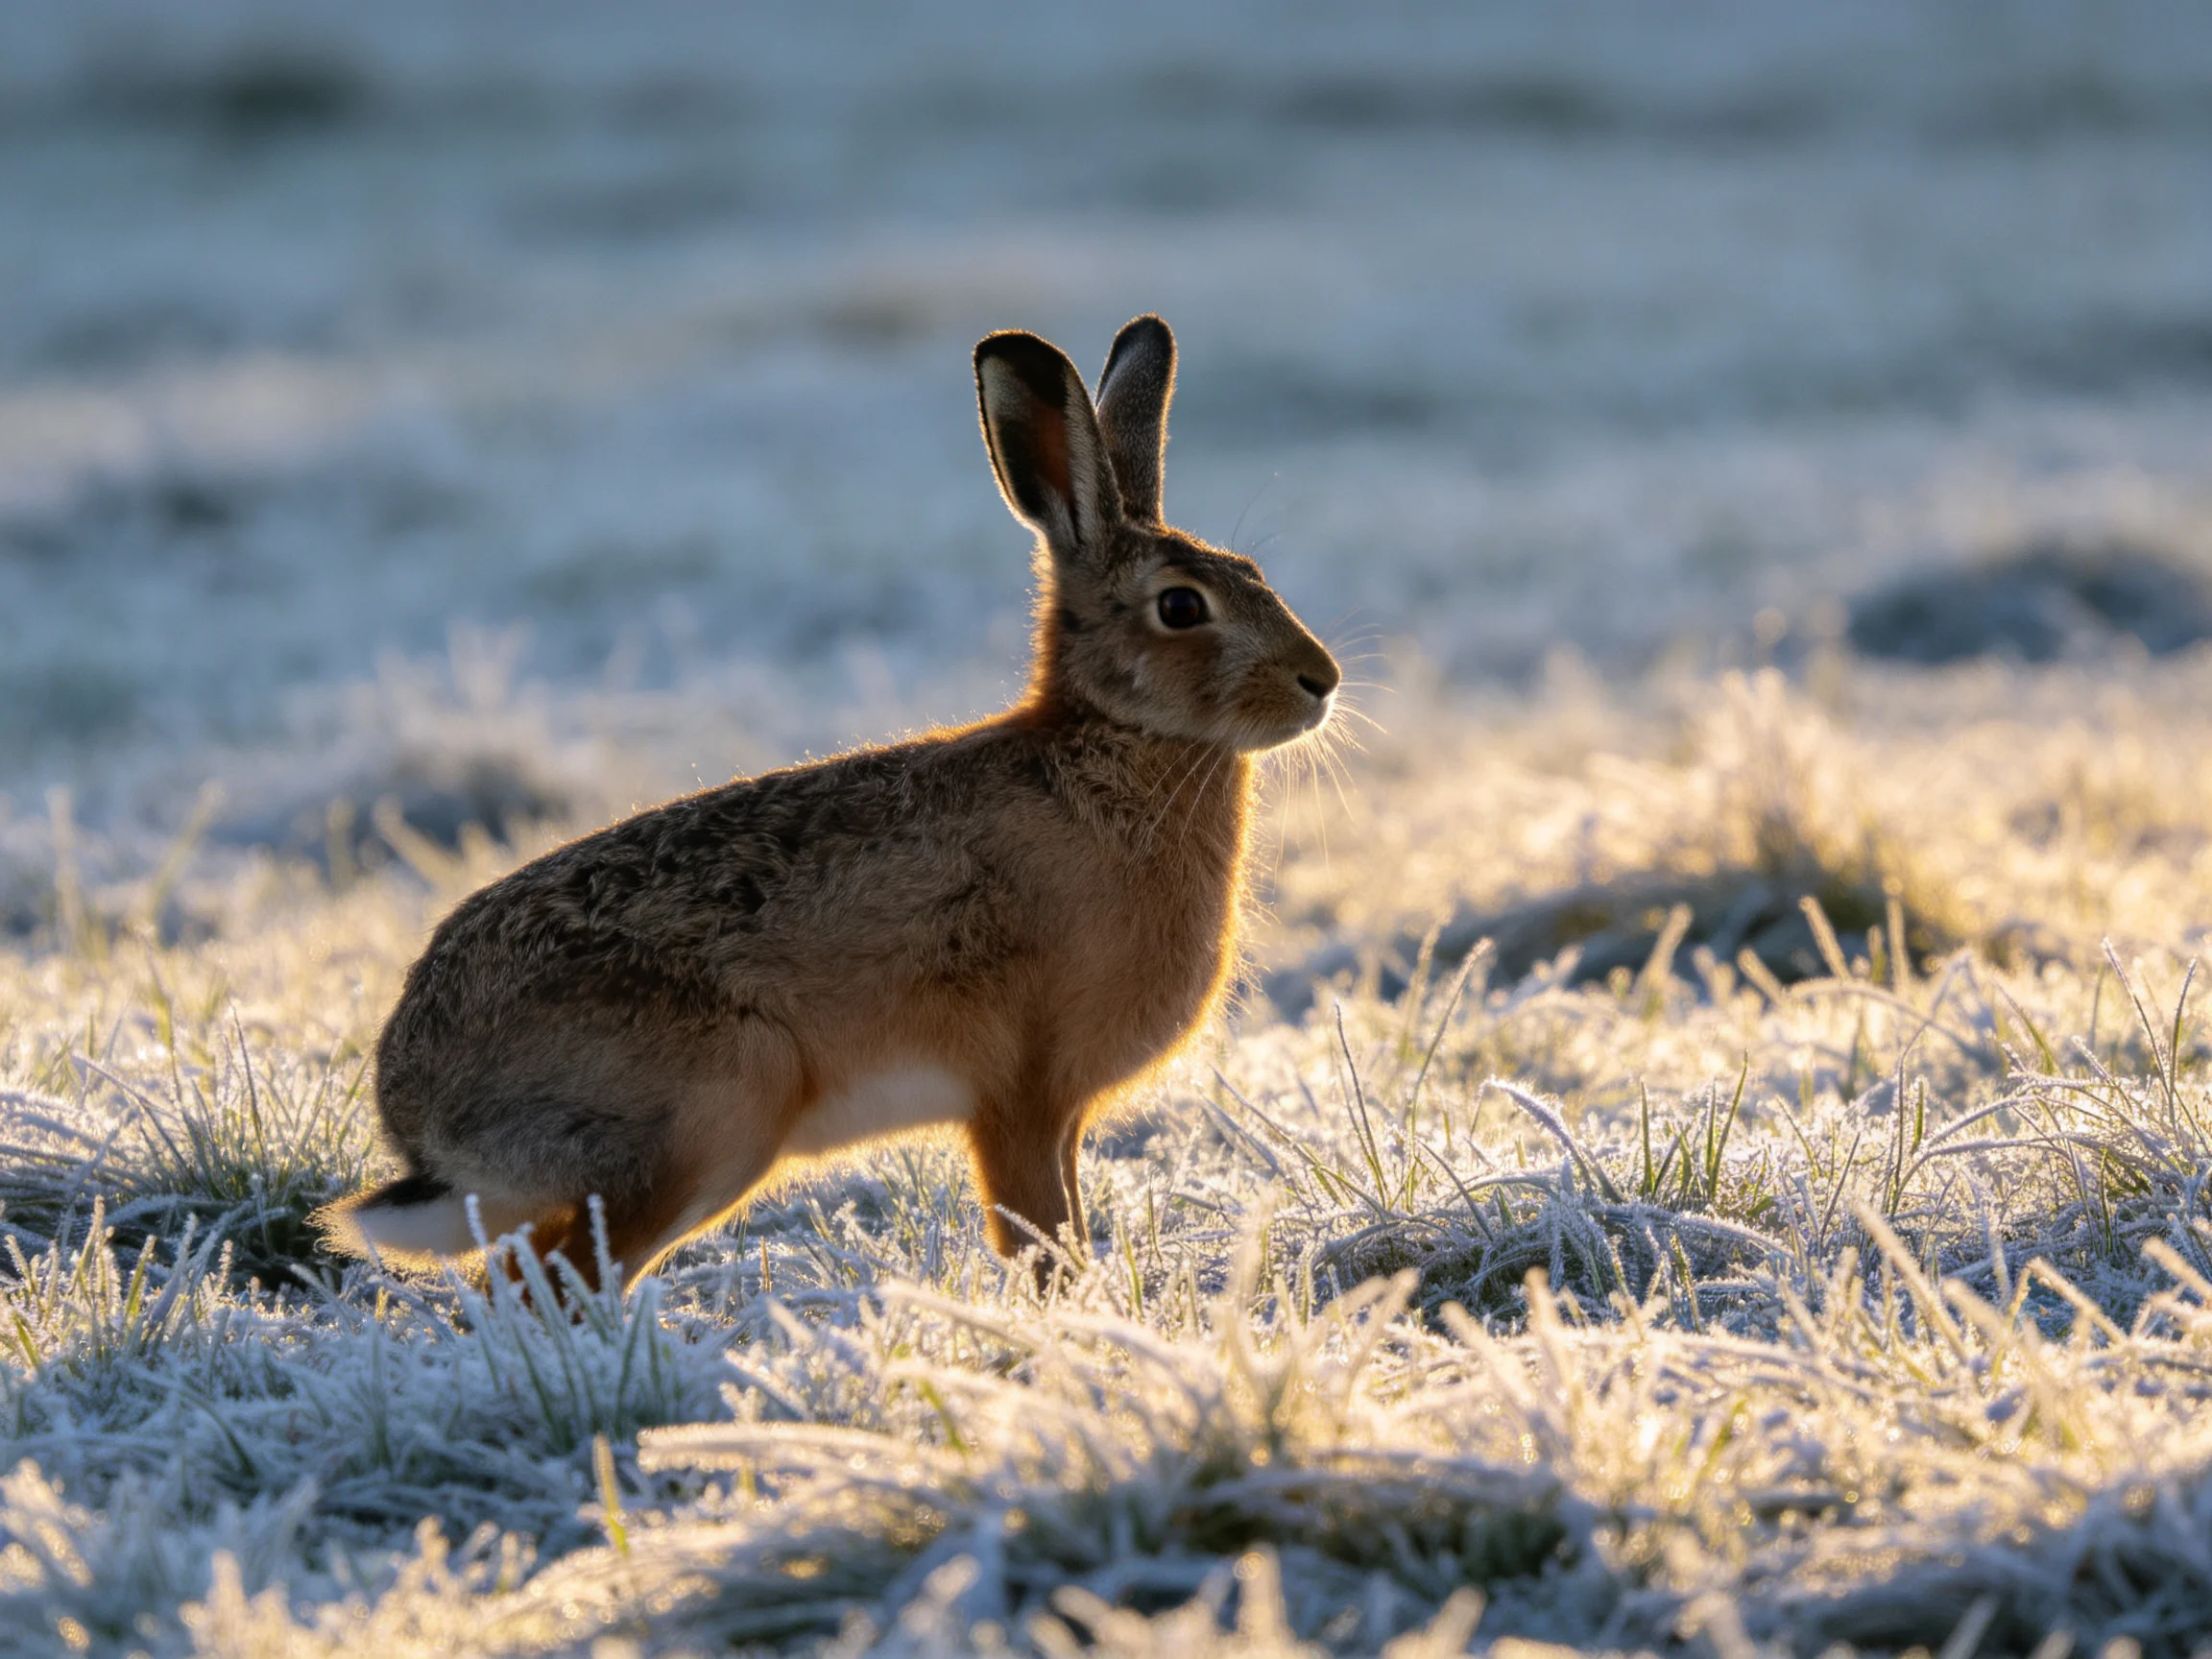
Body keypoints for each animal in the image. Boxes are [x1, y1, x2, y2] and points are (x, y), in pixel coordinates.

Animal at [319, 315, 1340, 1290]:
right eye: (1181, 607)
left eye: (1255, 575)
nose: (1320, 681)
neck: (1112, 741)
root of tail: (421, 1119)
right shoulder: (1021, 1092)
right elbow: (1043, 1243)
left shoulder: (1058, 1114)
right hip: (718, 1112)